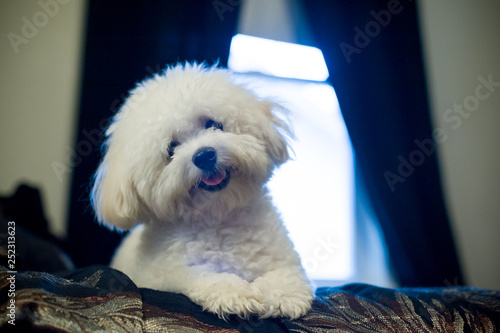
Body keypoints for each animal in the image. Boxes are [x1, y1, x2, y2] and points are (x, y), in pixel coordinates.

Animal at [91, 62, 312, 320]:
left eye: (213, 124)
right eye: (171, 149)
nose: (204, 155)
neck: (220, 216)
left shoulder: (282, 257)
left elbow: (286, 274)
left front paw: (282, 294)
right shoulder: (166, 273)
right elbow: (203, 275)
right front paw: (234, 293)